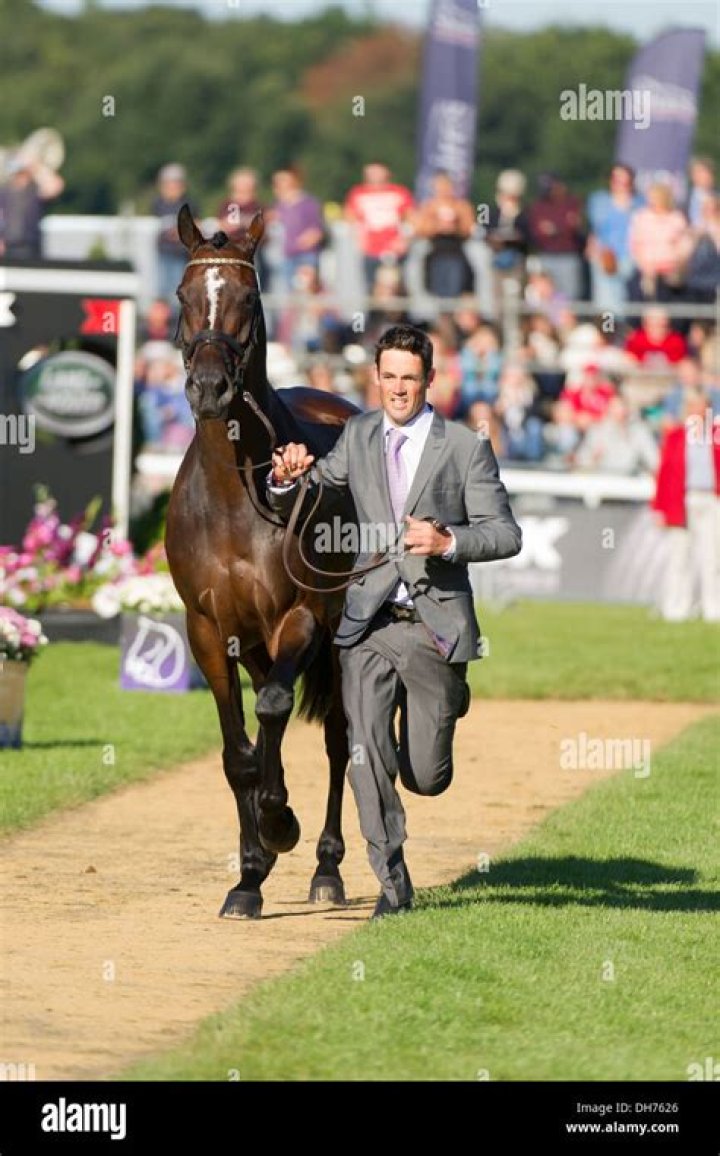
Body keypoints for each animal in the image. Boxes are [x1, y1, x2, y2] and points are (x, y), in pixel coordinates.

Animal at [165, 204, 358, 919]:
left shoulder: (299, 619)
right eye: (182, 295)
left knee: (338, 738)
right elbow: (238, 753)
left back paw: (326, 866)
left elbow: (275, 708)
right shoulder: (208, 631)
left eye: (248, 298)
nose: (209, 388)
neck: (233, 497)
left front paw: (279, 824)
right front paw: (248, 875)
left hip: (337, 637)